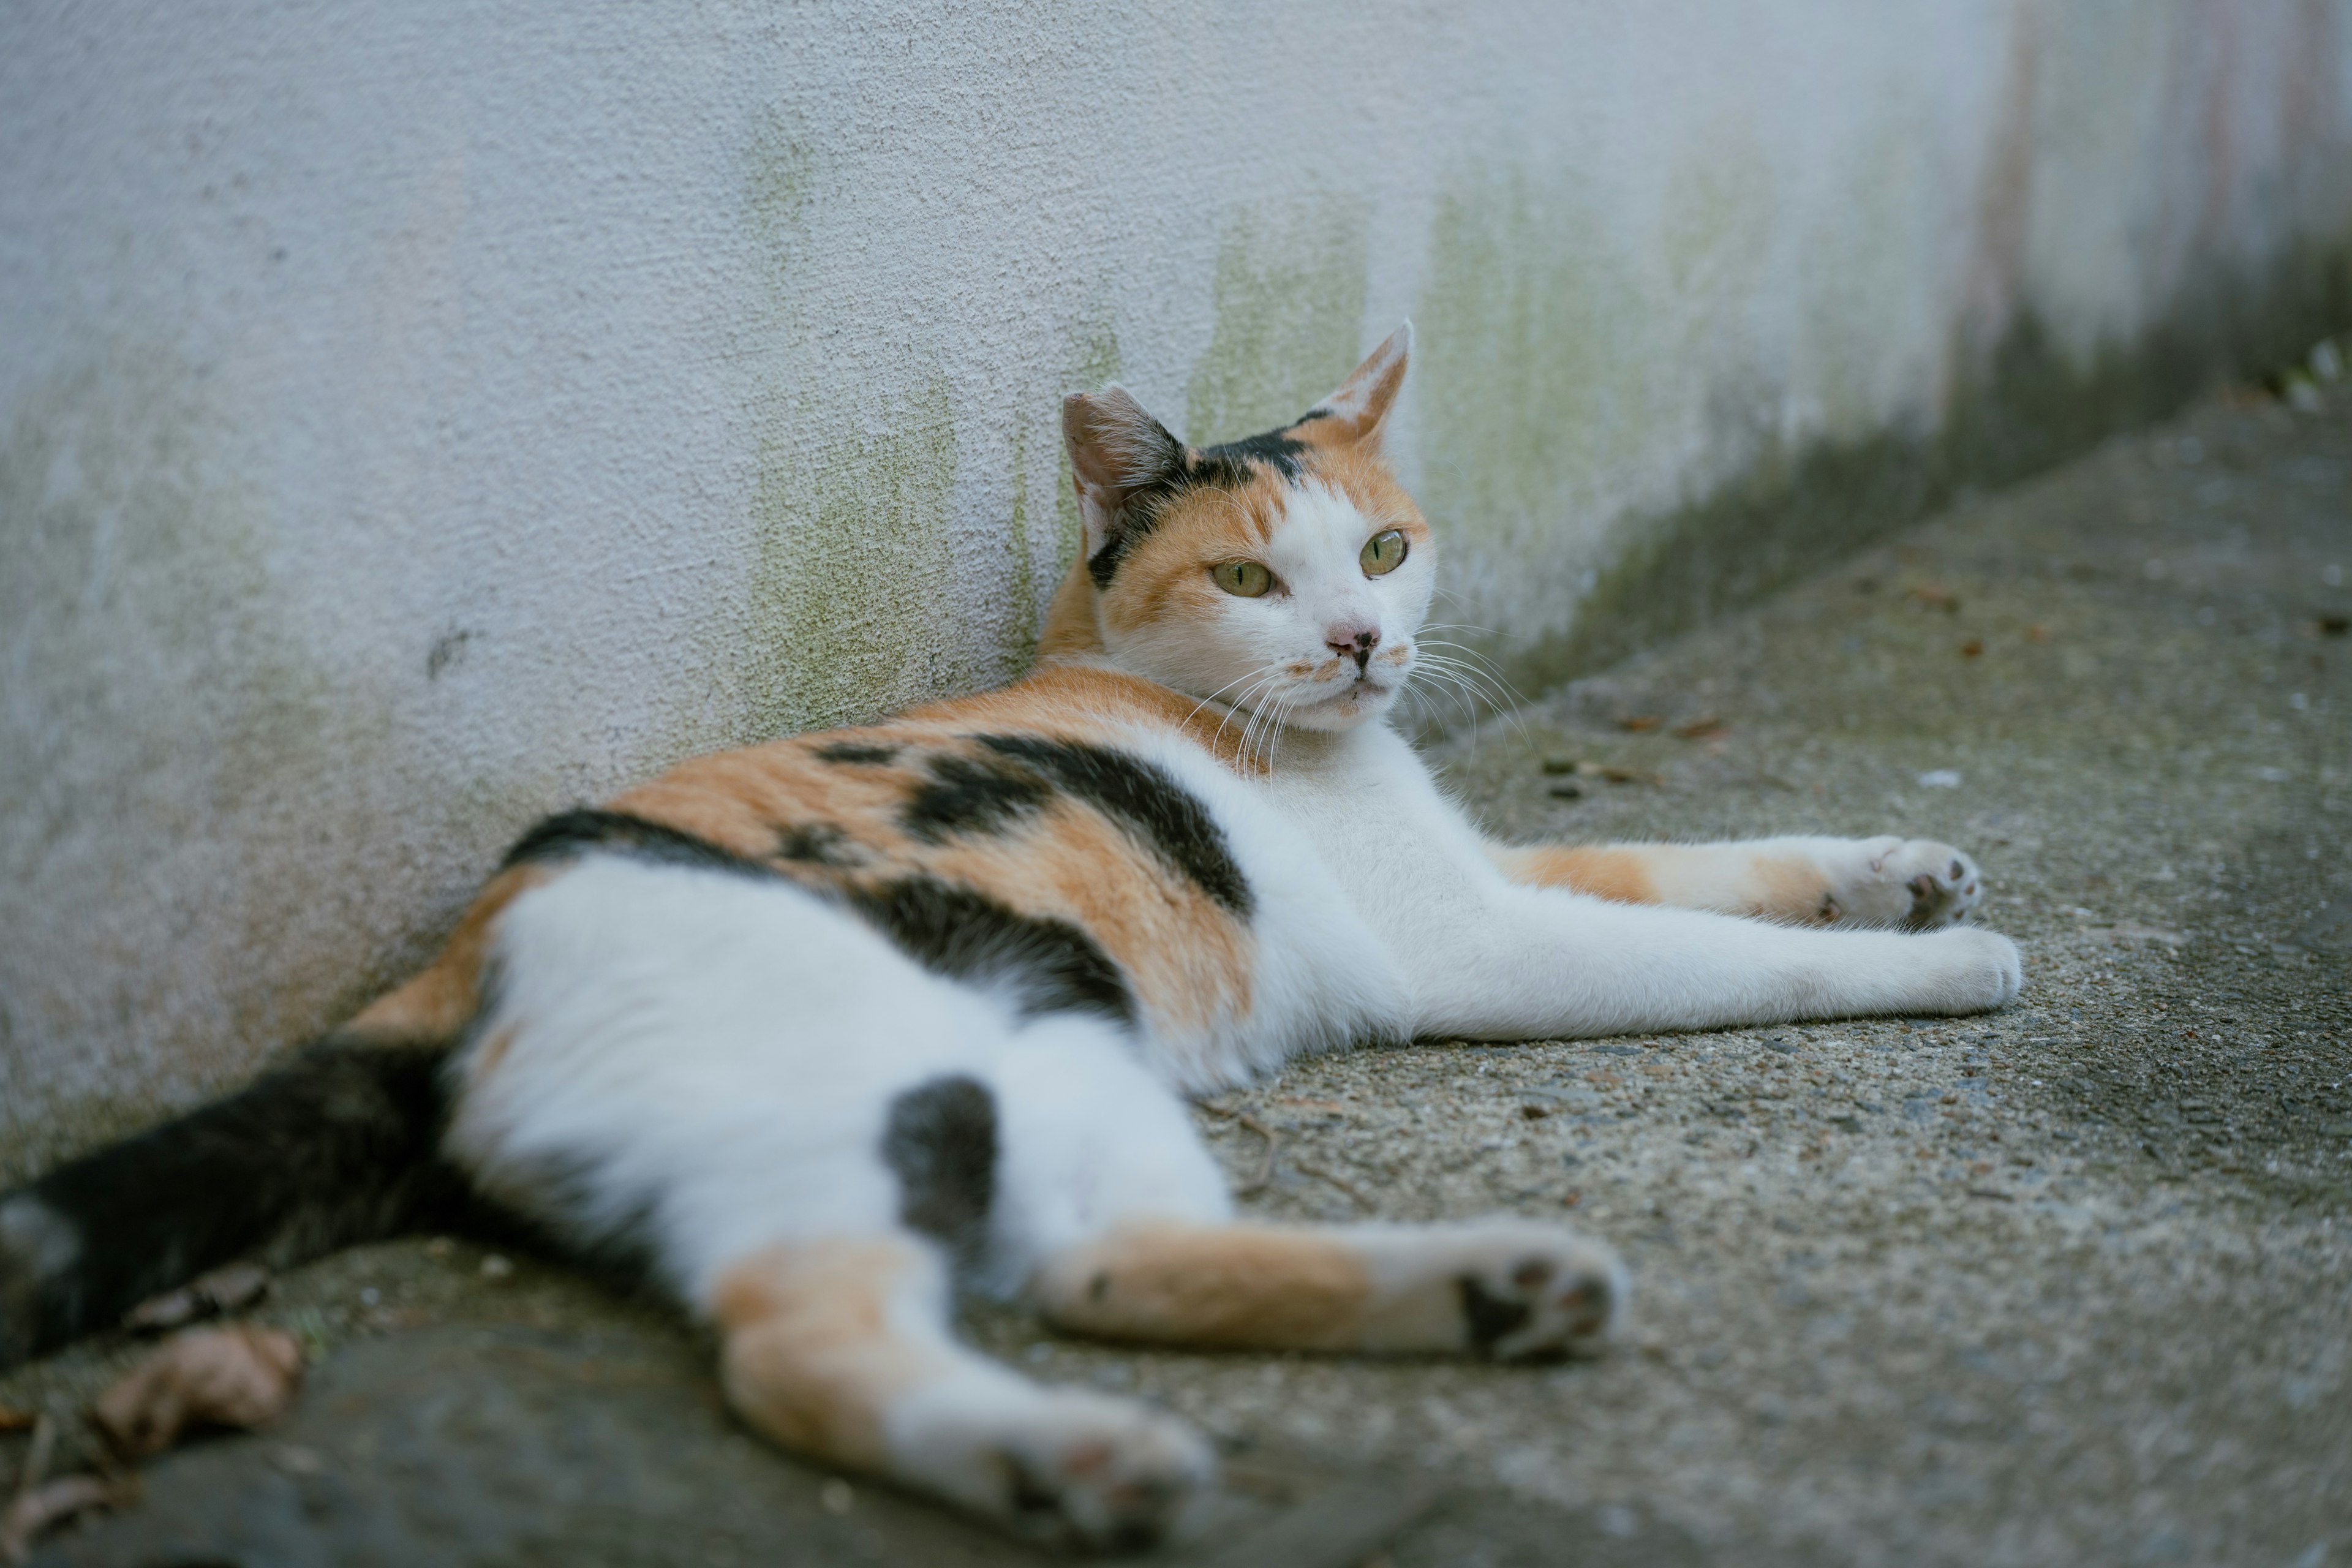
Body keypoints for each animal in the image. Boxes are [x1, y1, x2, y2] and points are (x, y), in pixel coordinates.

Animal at [4, 324, 2022, 1551]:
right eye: (1247, 574)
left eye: (1379, 553)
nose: (1361, 645)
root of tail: (455, 955)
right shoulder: (1471, 950)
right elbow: (1730, 957)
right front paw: (1940, 966)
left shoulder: (1495, 868)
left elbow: (1690, 856)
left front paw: (1903, 864)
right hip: (869, 1072)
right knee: (809, 1343)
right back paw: (1087, 1461)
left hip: (1056, 1033)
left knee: (1096, 1263)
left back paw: (1492, 1289)